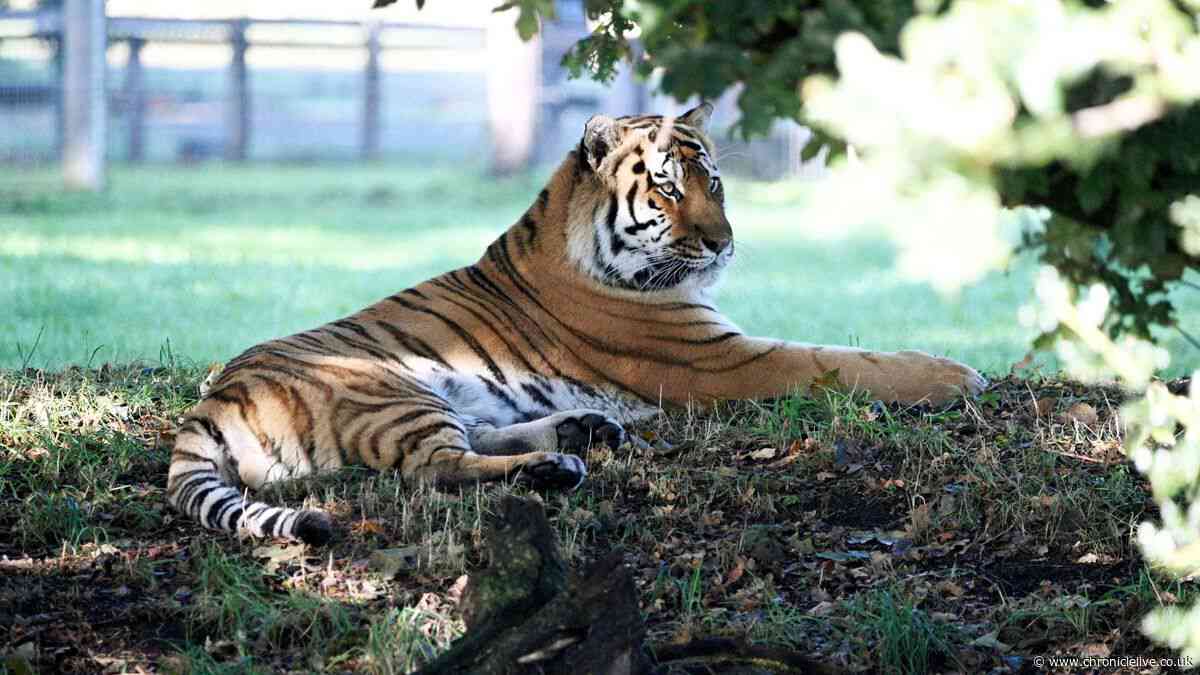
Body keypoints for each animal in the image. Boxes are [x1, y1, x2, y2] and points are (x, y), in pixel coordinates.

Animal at [166, 103, 987, 545]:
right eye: (669, 187)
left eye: (716, 182)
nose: (723, 243)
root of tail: (213, 399)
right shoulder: (725, 358)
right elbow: (843, 359)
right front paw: (957, 373)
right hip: (386, 388)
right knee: (435, 468)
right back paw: (555, 465)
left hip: (434, 396)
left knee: (472, 440)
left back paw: (581, 430)